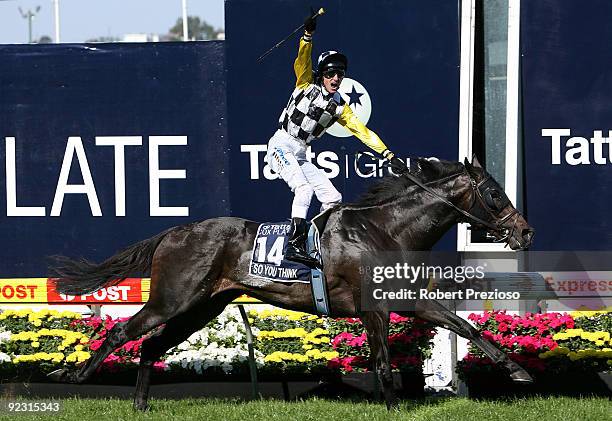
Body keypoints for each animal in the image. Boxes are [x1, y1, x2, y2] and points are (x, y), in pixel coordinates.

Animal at [49, 156, 536, 408]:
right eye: (495, 194)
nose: (526, 232)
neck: (386, 230)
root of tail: (173, 231)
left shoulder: (410, 300)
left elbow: (466, 326)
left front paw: (519, 371)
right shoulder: (373, 308)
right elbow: (382, 363)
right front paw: (393, 407)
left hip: (201, 306)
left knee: (150, 345)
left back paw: (140, 404)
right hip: (174, 299)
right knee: (122, 333)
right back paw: (74, 375)